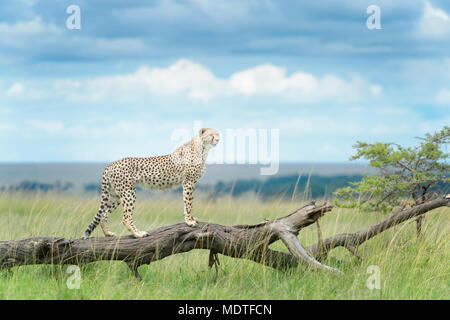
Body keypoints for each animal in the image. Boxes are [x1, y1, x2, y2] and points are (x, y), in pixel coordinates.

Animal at [83, 127, 221, 238]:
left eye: (218, 134)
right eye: (211, 135)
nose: (218, 140)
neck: (202, 149)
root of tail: (111, 164)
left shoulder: (189, 183)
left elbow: (188, 202)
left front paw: (192, 219)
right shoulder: (188, 182)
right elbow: (188, 203)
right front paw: (189, 221)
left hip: (115, 195)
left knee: (103, 214)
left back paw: (108, 233)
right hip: (128, 192)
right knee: (126, 218)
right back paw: (138, 234)